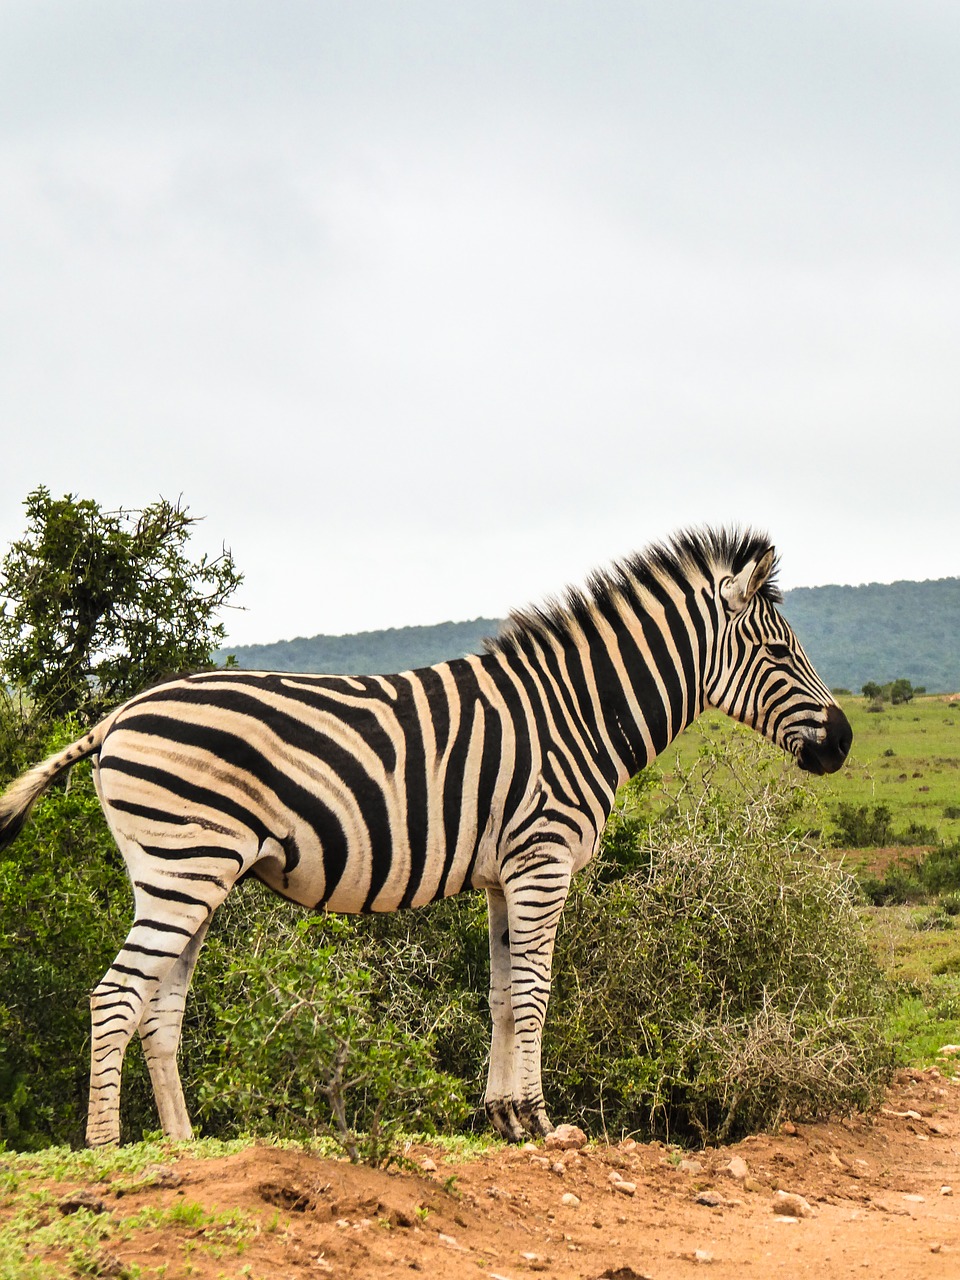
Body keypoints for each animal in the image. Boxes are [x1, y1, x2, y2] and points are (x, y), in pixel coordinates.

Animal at [1, 524, 855, 1146]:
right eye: (779, 652)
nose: (843, 742)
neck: (580, 712)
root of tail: (116, 715)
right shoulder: (543, 859)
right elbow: (537, 991)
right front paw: (544, 1121)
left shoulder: (506, 874)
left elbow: (504, 994)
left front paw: (505, 1117)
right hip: (184, 864)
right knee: (116, 994)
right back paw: (106, 1146)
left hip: (190, 873)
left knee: (160, 1008)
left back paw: (183, 1144)